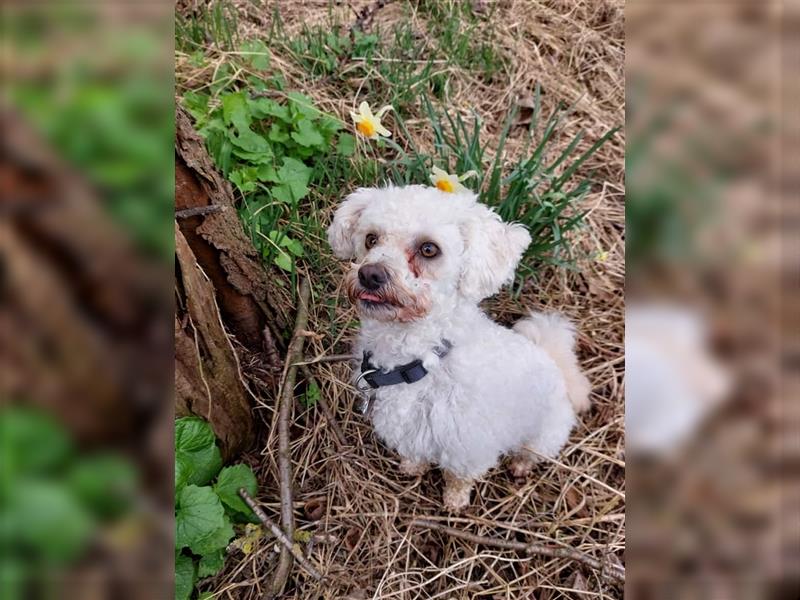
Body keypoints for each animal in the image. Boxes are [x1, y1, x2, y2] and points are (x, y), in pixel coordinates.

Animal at [328, 185, 592, 508]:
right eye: (371, 238)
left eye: (429, 249)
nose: (369, 274)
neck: (425, 359)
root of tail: (556, 362)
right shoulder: (410, 430)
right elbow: (415, 453)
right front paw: (412, 468)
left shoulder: (470, 446)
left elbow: (459, 477)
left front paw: (455, 501)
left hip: (545, 434)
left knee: (532, 452)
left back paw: (520, 464)